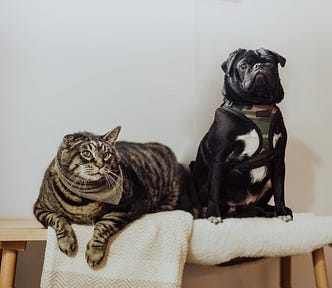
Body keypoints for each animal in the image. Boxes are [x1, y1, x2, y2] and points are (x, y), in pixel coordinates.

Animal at [33, 126, 195, 268]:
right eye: (86, 153)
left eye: (106, 155)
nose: (100, 165)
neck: (84, 198)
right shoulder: (40, 208)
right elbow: (58, 219)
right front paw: (67, 242)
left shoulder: (124, 208)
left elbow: (103, 226)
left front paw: (94, 252)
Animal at [191, 47, 292, 224]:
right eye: (243, 65)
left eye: (269, 63)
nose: (259, 66)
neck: (257, 105)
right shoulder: (218, 159)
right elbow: (214, 189)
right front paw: (213, 214)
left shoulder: (279, 159)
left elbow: (280, 189)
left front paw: (281, 211)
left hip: (266, 186)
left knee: (259, 205)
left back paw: (272, 211)